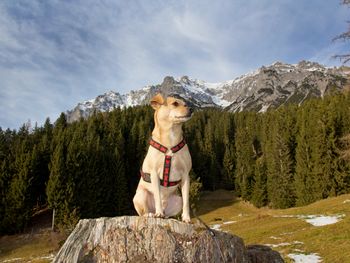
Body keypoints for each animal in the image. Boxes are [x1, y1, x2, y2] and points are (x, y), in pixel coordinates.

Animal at [133, 93, 194, 223]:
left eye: (185, 103)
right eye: (175, 103)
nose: (191, 109)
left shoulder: (186, 175)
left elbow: (186, 201)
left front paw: (186, 218)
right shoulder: (154, 174)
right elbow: (157, 195)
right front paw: (159, 213)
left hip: (177, 200)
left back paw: (165, 215)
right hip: (141, 195)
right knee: (143, 212)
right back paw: (152, 214)